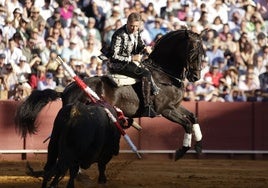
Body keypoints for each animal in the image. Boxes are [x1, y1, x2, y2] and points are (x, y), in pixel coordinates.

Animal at [14, 29, 205, 160]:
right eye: (192, 52)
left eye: (202, 52)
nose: (195, 77)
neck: (164, 74)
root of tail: (66, 90)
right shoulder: (165, 110)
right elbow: (187, 124)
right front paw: (180, 152)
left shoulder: (176, 106)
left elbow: (193, 117)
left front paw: (199, 148)